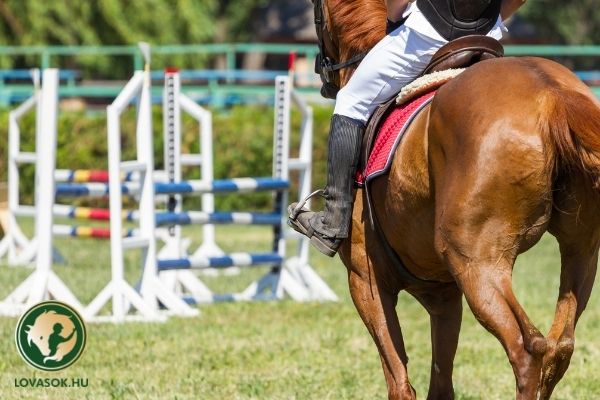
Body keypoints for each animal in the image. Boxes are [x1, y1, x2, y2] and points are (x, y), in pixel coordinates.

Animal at [322, 0, 600, 400]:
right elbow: (441, 382)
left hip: (477, 263)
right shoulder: (443, 295)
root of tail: (553, 98)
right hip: (581, 251)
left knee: (527, 349)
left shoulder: (365, 280)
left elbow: (400, 383)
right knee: (559, 346)